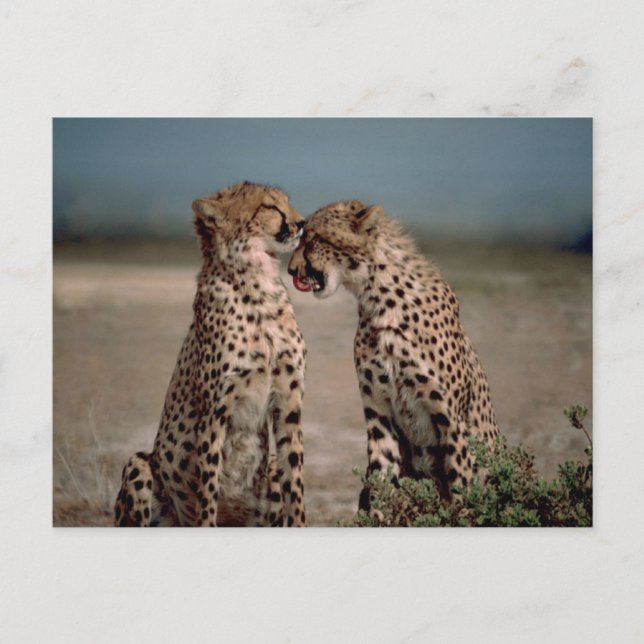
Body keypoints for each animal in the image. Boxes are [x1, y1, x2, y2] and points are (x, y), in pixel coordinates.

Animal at [115, 182, 307, 527]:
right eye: (270, 207)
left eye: (287, 202)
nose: (302, 223)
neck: (258, 287)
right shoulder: (214, 413)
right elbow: (208, 490)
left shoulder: (289, 404)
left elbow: (296, 484)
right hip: (139, 465)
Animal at [288, 200, 499, 505]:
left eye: (315, 239)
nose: (291, 270)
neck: (380, 300)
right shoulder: (380, 414)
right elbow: (381, 480)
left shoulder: (453, 423)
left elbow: (461, 490)